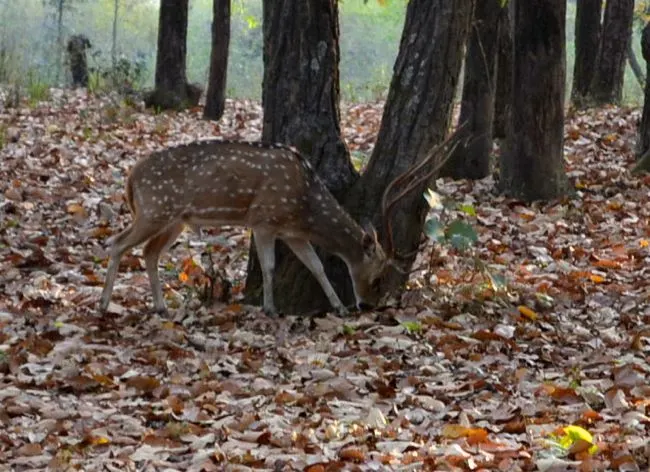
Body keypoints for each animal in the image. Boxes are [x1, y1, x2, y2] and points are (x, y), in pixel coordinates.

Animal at [98, 135, 460, 316]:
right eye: (379, 275)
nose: (367, 305)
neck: (304, 203)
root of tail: (131, 176)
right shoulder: (263, 219)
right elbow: (270, 266)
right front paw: (270, 308)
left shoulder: (292, 232)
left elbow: (316, 266)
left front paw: (338, 307)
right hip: (155, 209)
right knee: (116, 243)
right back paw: (103, 305)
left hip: (174, 220)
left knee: (148, 252)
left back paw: (159, 307)